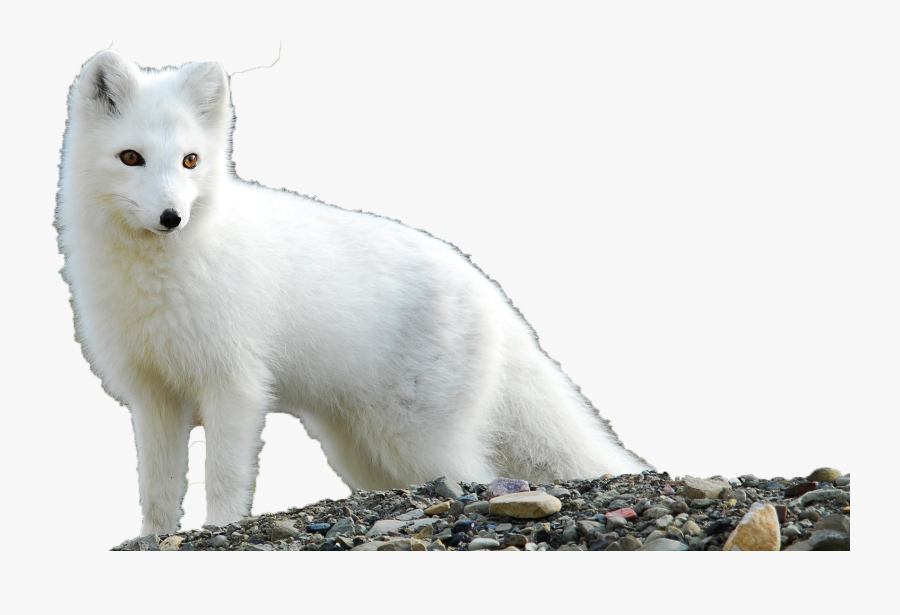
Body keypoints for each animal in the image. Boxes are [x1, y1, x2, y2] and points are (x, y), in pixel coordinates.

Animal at [55, 50, 652, 536]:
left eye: (190, 161)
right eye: (130, 157)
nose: (171, 217)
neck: (155, 279)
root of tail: (488, 290)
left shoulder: (234, 384)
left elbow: (223, 476)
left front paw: (219, 528)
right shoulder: (152, 394)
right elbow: (156, 489)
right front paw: (153, 538)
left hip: (418, 439)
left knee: (475, 477)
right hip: (358, 446)